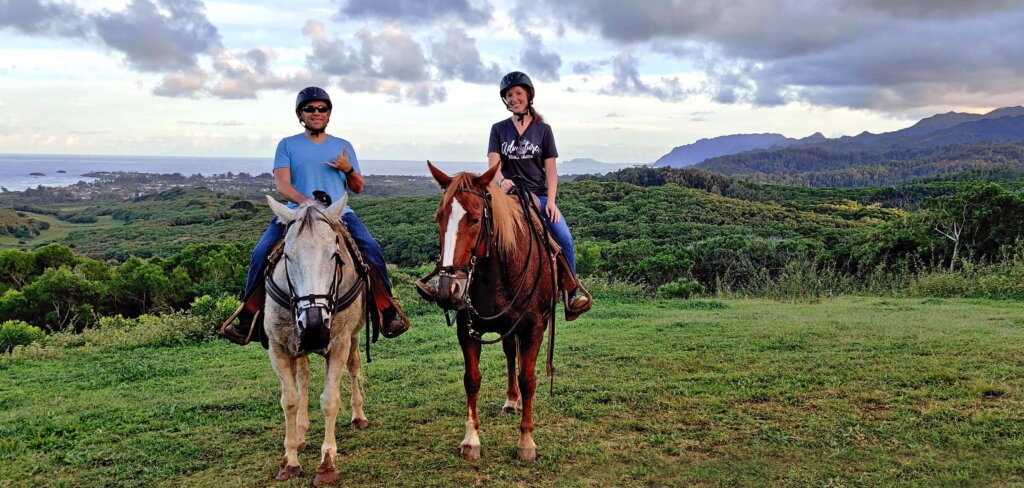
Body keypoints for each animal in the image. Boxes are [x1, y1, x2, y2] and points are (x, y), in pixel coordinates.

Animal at [264, 196, 368, 484]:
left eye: (335, 255)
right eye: (287, 256)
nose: (313, 326)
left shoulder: (340, 344)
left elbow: (329, 400)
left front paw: (327, 463)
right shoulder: (277, 348)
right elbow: (289, 400)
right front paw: (289, 460)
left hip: (353, 337)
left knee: (353, 367)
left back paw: (358, 416)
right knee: (304, 378)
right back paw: (300, 433)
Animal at [425, 162, 561, 460]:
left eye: (475, 219)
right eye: (438, 218)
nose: (448, 289)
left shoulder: (535, 327)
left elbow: (528, 378)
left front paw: (526, 442)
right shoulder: (467, 331)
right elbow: (472, 379)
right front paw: (471, 440)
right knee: (511, 354)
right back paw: (511, 401)